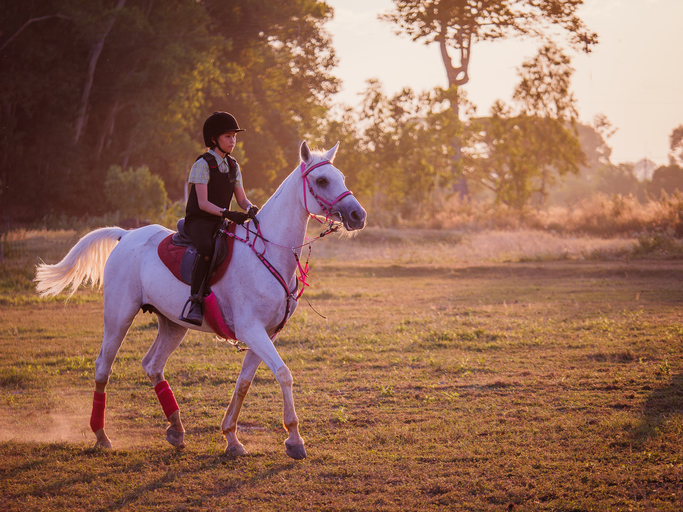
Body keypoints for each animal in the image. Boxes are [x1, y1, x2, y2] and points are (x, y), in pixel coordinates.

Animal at [34, 141, 366, 460]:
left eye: (341, 177)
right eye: (321, 180)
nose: (358, 215)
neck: (269, 250)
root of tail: (126, 235)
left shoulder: (267, 333)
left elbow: (243, 384)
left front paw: (232, 438)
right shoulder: (251, 330)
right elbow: (284, 374)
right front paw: (294, 440)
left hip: (172, 324)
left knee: (153, 365)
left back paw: (176, 431)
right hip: (119, 315)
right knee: (104, 366)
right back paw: (102, 436)